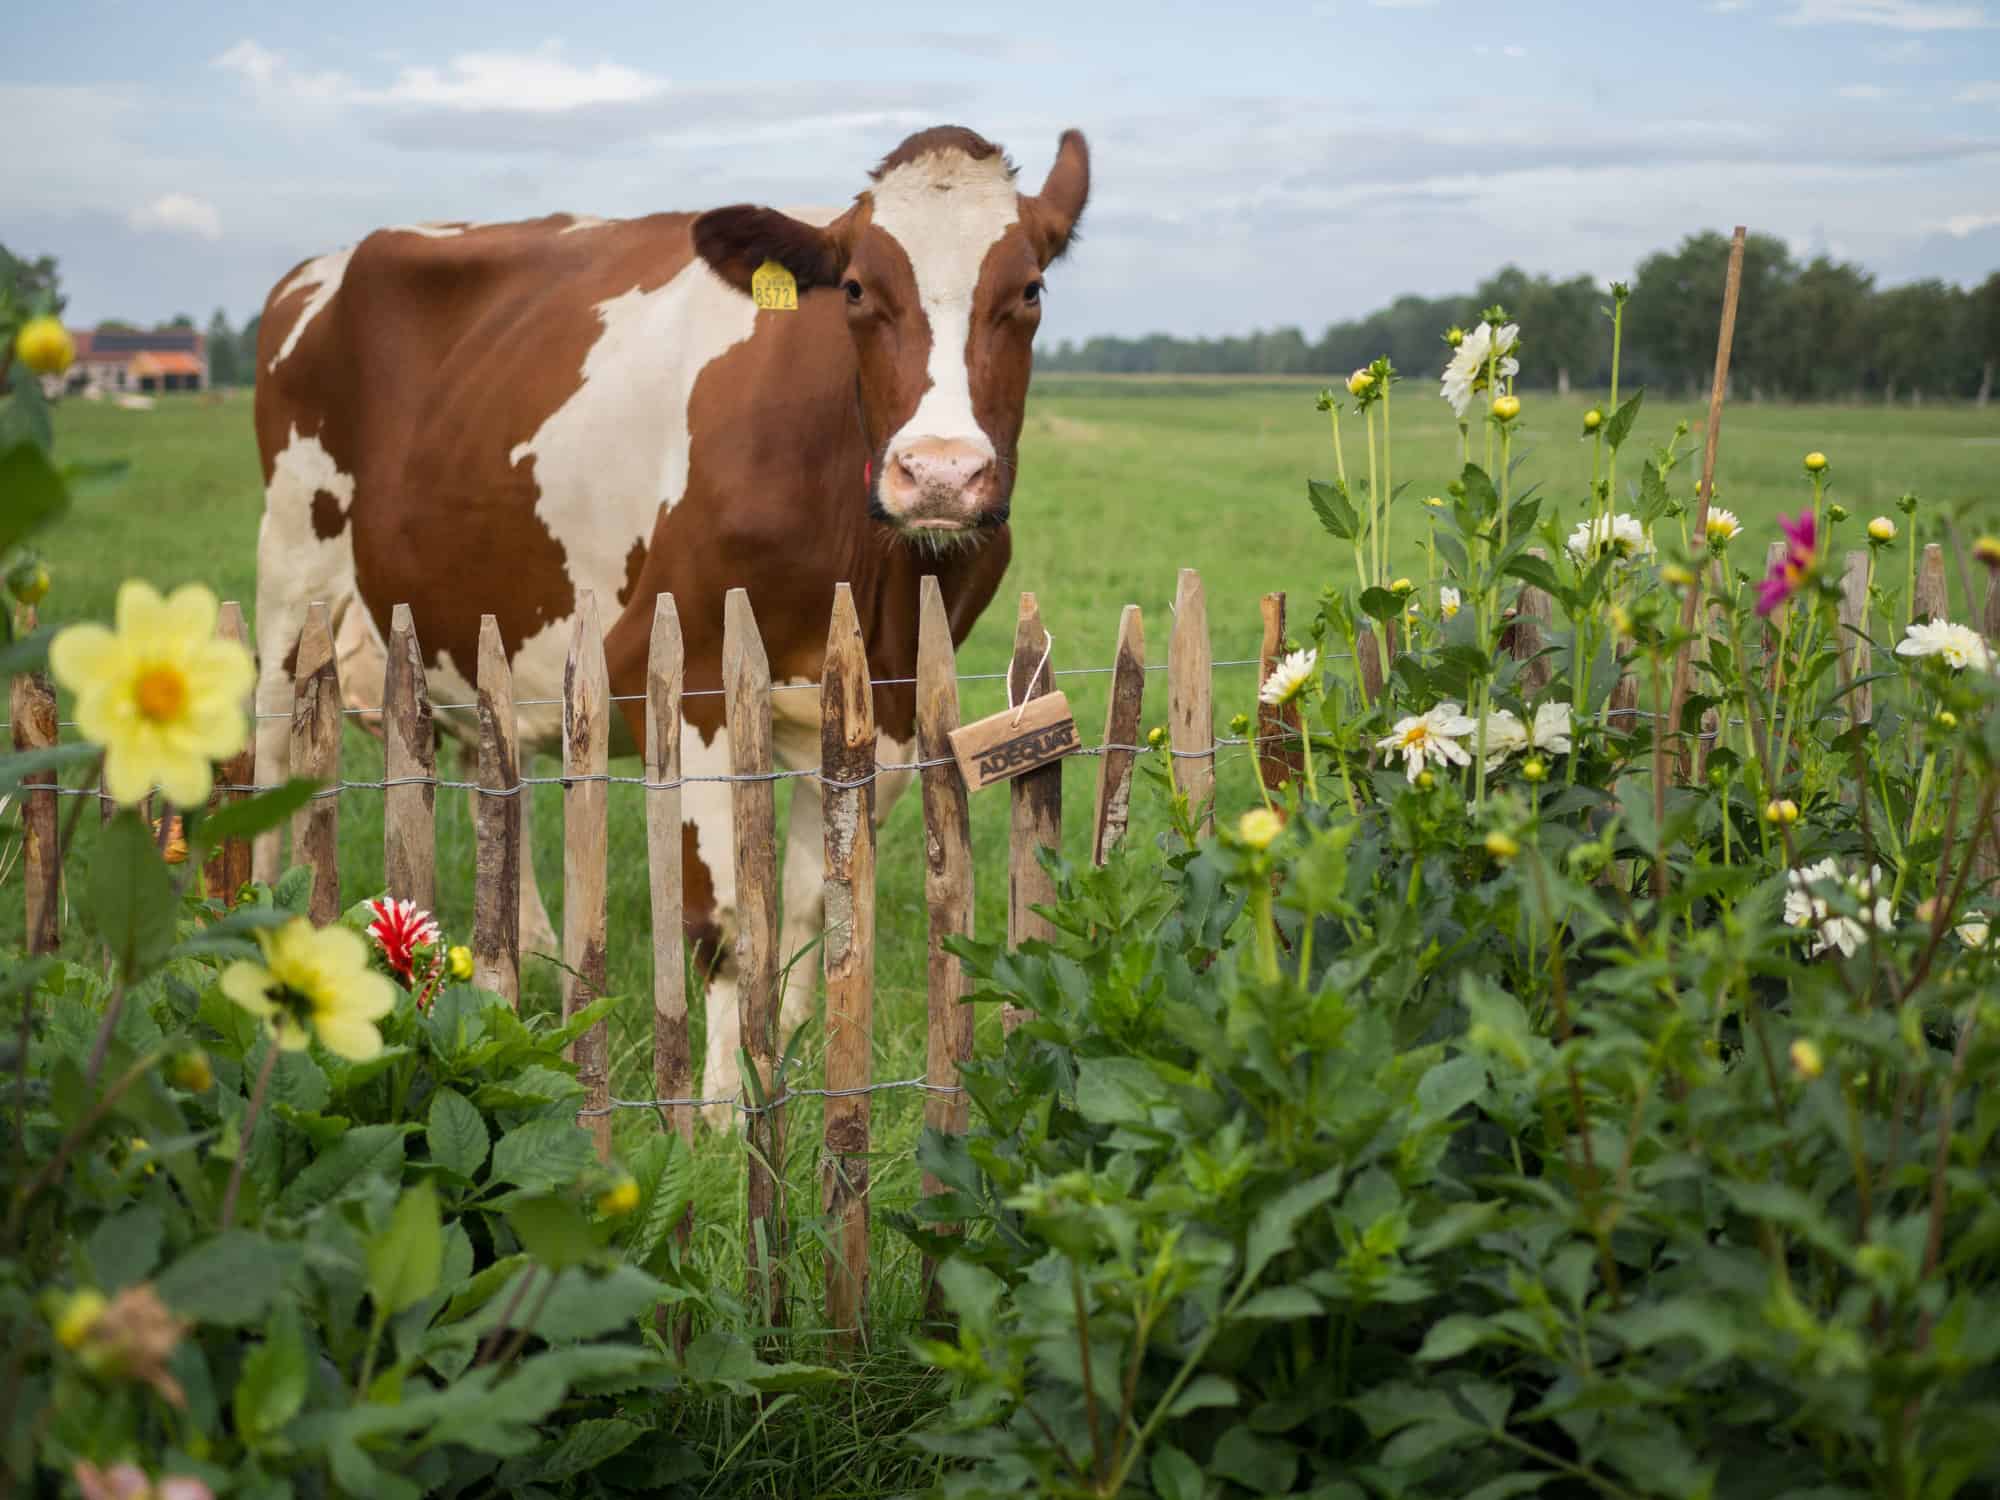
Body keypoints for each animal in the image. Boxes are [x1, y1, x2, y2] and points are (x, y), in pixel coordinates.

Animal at [256, 123, 1096, 1120]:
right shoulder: (691, 675)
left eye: (1030, 289)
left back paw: (531, 954)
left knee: (484, 760)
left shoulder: (879, 705)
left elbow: (812, 904)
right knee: (269, 750)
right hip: (289, 566)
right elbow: (726, 921)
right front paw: (726, 1110)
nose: (938, 473)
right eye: (856, 289)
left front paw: (798, 1070)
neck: (874, 573)